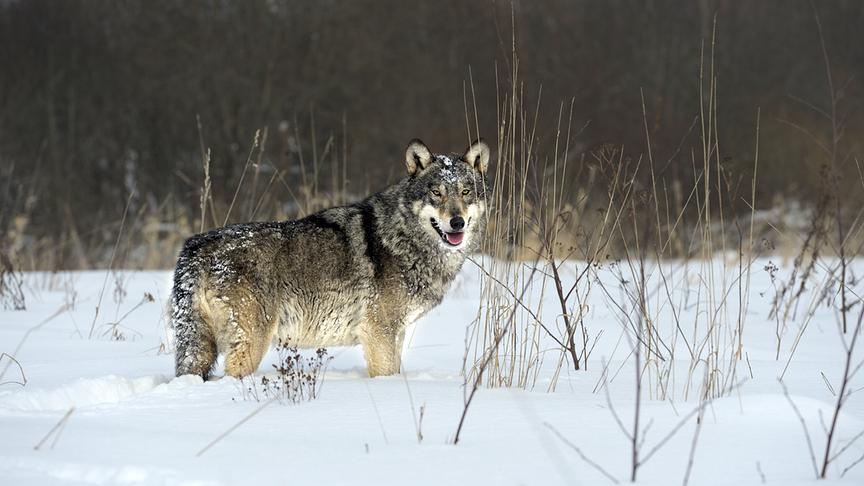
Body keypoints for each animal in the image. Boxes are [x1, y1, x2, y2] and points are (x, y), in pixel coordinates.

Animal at [171, 139, 490, 378]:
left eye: (466, 192)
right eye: (436, 192)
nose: (457, 222)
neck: (402, 237)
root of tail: (196, 245)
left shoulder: (396, 333)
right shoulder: (380, 333)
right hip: (251, 344)